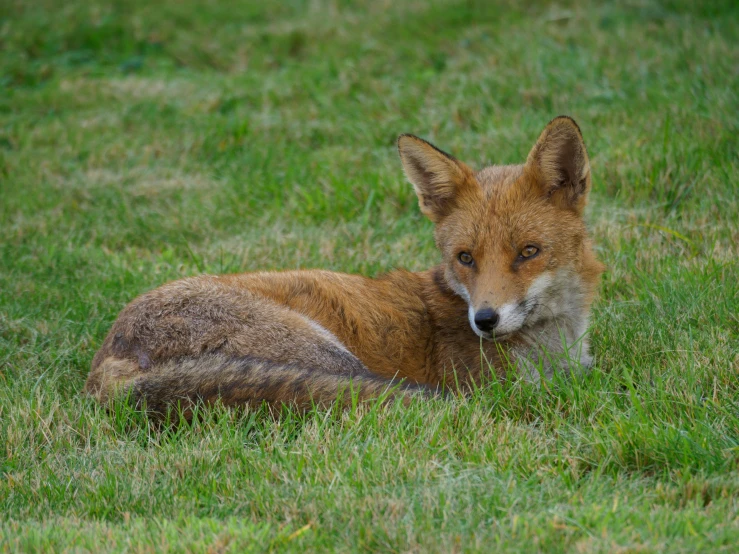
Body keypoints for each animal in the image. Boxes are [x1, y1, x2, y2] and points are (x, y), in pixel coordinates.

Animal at [84, 116, 604, 414]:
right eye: (465, 258)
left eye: (528, 252)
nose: (485, 320)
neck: (553, 350)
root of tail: (108, 360)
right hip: (330, 357)